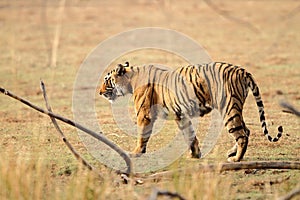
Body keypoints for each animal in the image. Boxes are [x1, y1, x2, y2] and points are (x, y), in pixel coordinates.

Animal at [99, 61, 282, 162]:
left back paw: (236, 159)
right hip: (234, 108)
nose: (100, 92)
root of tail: (242, 70)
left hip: (229, 108)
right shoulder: (180, 115)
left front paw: (136, 153)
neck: (130, 80)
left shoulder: (144, 115)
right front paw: (195, 154)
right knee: (247, 130)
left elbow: (142, 136)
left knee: (242, 134)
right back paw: (232, 153)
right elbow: (190, 135)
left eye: (106, 80)